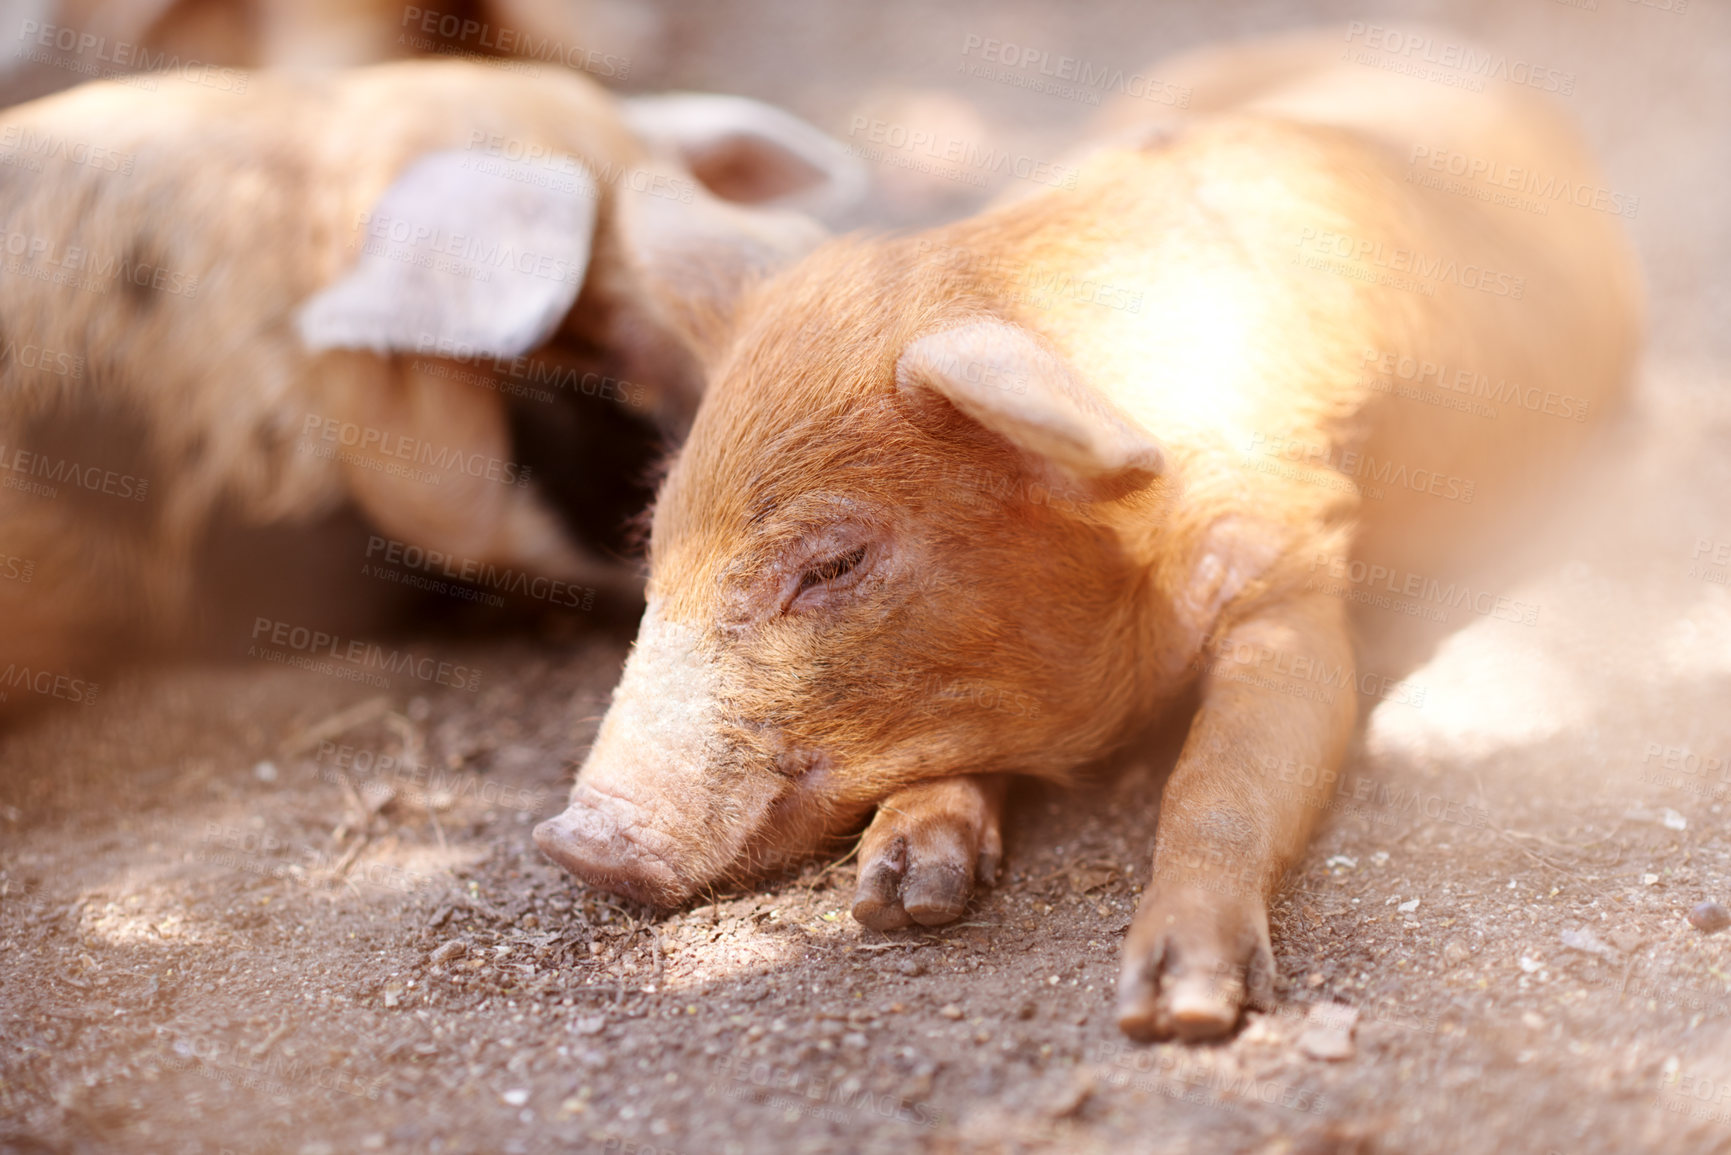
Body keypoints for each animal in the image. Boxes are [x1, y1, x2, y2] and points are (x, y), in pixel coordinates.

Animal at [534, 30, 1641, 1040]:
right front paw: (899, 901)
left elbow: (1223, 780)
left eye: (834, 562)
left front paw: (1179, 1006)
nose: (571, 840)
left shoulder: (1292, 576)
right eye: (653, 534)